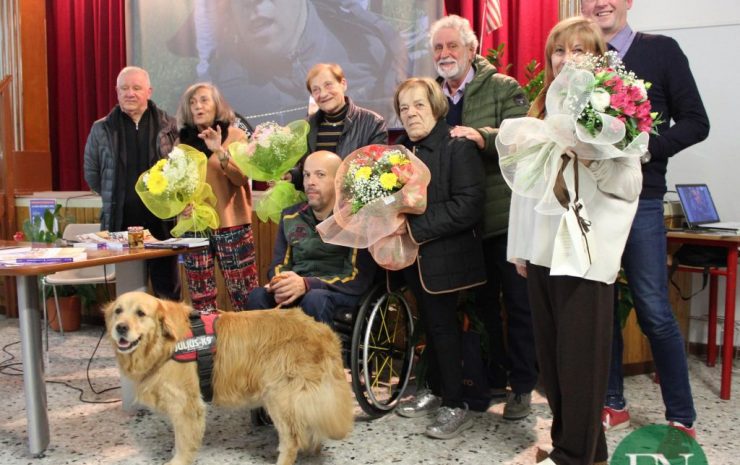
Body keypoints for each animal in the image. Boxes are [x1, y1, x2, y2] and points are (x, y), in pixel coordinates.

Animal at [104, 292, 356, 462]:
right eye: (118, 311)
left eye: (140, 313)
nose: (121, 328)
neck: (166, 344)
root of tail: (324, 332)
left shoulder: (186, 406)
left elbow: (184, 443)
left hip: (278, 395)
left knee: (292, 440)